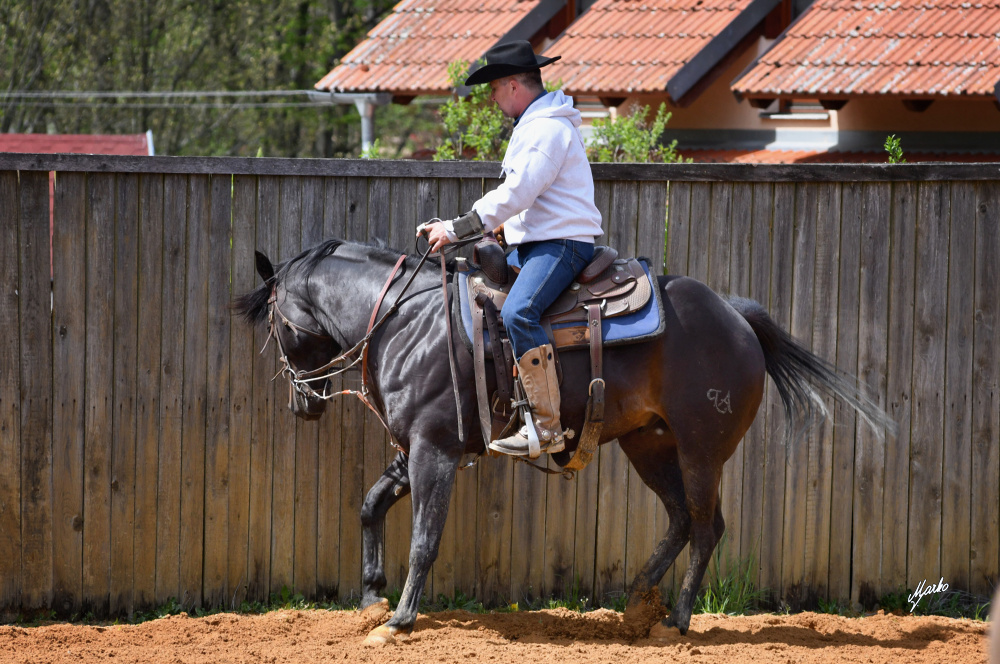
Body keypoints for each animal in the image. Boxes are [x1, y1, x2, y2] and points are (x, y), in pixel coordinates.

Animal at [234, 237, 892, 644]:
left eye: (275, 325)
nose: (301, 403)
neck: (408, 320)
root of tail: (735, 315)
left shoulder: (434, 450)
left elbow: (423, 539)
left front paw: (398, 620)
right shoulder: (411, 448)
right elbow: (371, 504)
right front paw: (371, 595)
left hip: (701, 450)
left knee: (708, 527)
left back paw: (675, 621)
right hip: (648, 446)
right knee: (681, 518)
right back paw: (636, 601)